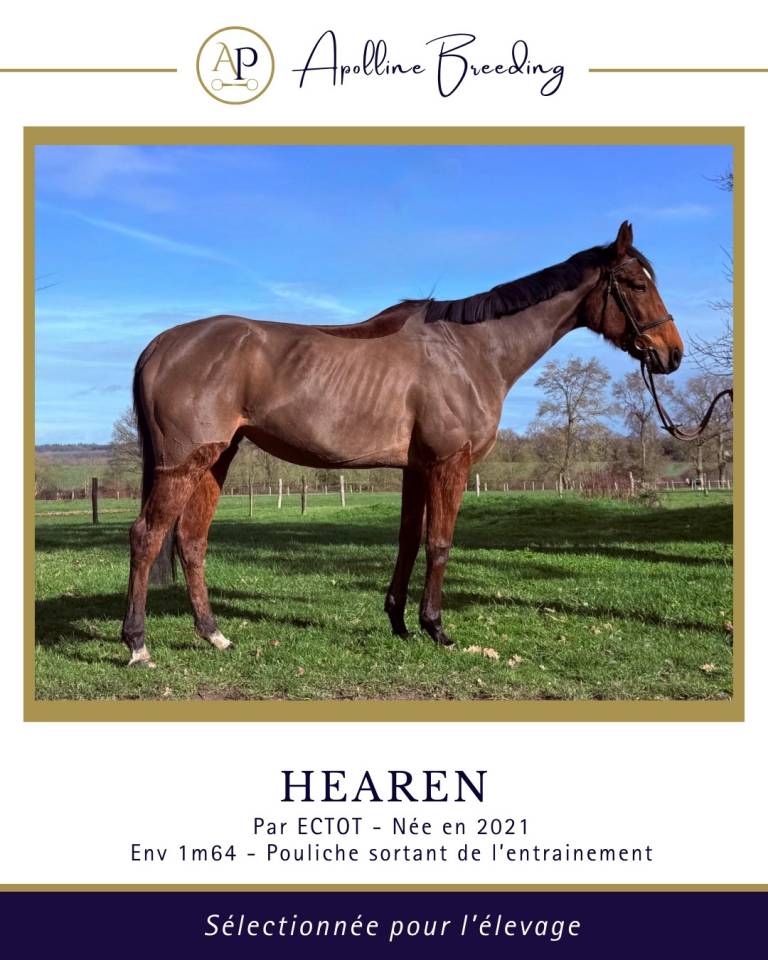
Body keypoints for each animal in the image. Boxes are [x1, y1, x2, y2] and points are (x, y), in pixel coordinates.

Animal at [121, 221, 684, 667]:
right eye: (636, 283)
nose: (671, 354)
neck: (471, 351)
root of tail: (160, 345)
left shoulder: (416, 467)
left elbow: (409, 540)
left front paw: (399, 622)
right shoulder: (449, 463)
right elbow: (439, 543)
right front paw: (437, 628)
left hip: (217, 460)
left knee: (191, 541)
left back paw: (214, 635)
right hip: (183, 463)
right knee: (147, 536)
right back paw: (138, 644)